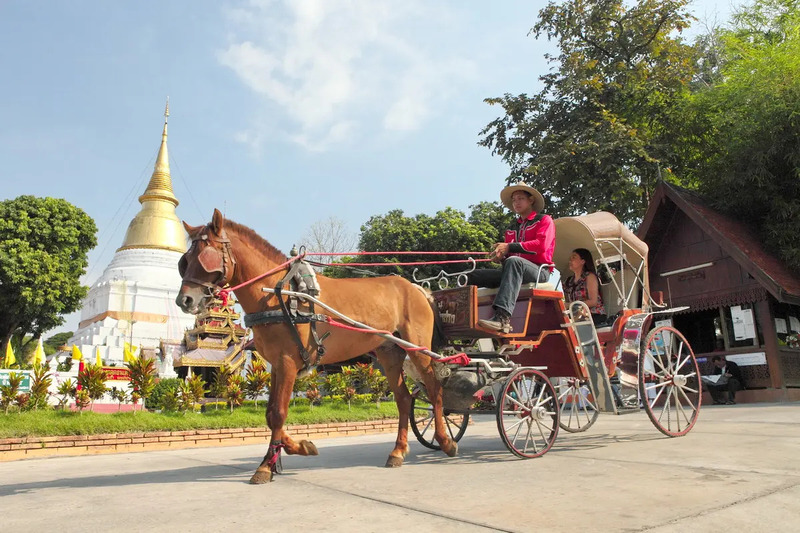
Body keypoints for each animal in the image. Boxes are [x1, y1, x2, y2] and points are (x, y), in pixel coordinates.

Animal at [177, 210, 460, 484]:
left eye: (205, 257)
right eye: (185, 261)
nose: (184, 300)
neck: (278, 294)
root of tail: (416, 288)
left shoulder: (288, 361)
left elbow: (278, 413)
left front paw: (267, 465)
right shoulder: (276, 364)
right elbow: (270, 414)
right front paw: (296, 448)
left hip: (418, 348)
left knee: (434, 389)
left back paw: (446, 441)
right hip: (389, 352)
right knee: (403, 398)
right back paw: (398, 451)